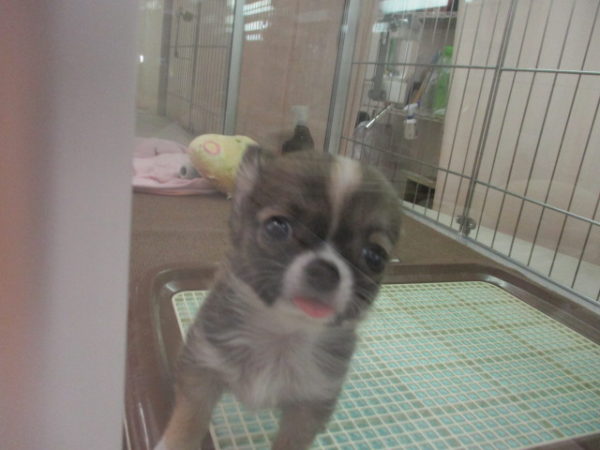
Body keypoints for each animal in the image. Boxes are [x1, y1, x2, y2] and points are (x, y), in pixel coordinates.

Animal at [158, 147, 402, 449]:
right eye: (277, 227)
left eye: (375, 257)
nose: (325, 270)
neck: (281, 334)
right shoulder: (202, 367)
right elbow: (190, 419)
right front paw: (173, 443)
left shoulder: (310, 403)